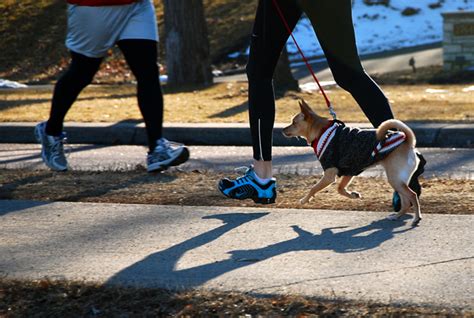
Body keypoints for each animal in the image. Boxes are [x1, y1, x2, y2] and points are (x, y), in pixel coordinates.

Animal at [282, 100, 422, 225]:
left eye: (293, 122)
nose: (283, 130)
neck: (321, 131)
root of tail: (408, 142)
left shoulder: (329, 174)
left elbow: (313, 188)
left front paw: (304, 200)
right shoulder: (349, 171)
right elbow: (340, 189)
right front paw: (353, 195)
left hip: (395, 179)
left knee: (412, 195)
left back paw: (416, 218)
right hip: (398, 180)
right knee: (406, 201)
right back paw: (397, 216)